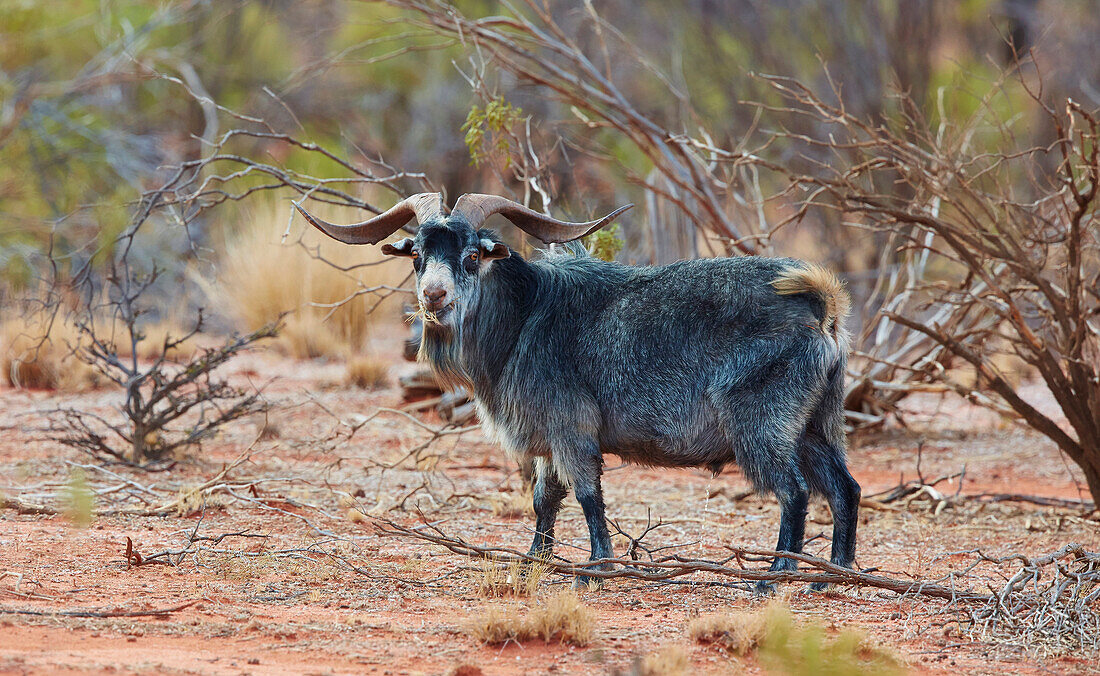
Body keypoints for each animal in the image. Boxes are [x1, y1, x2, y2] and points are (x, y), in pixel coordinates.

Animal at [299, 193, 858, 589]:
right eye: (416, 253)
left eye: (473, 254)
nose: (434, 296)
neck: (527, 314)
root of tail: (818, 305)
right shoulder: (548, 442)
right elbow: (544, 499)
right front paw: (534, 561)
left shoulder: (571, 429)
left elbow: (588, 493)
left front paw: (596, 567)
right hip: (815, 425)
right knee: (844, 488)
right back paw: (833, 577)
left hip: (762, 425)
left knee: (795, 491)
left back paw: (773, 579)